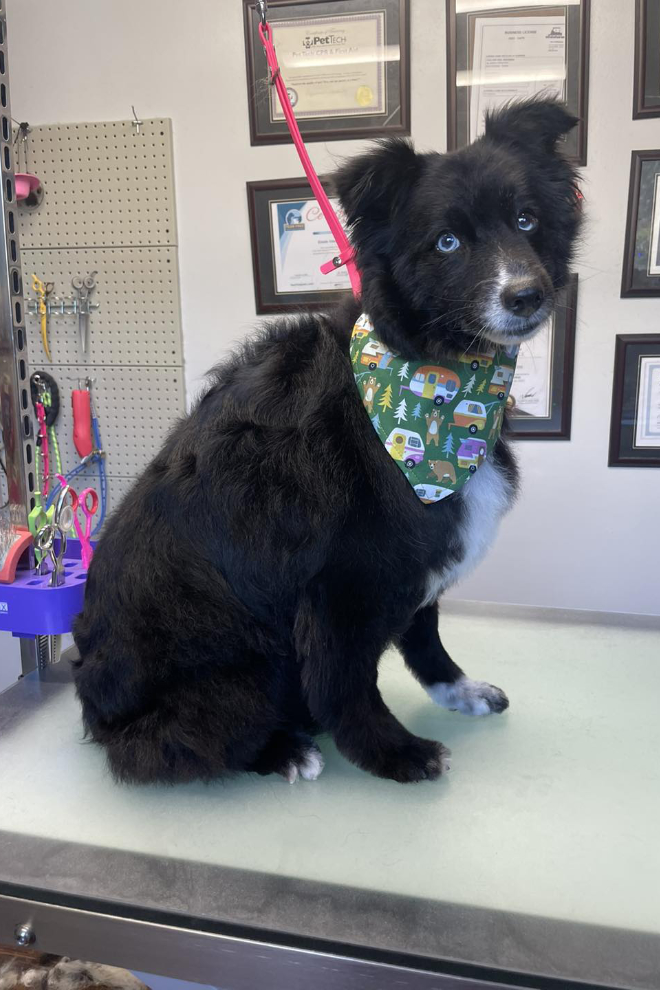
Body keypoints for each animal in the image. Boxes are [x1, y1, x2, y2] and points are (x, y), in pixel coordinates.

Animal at [72, 99, 580, 784]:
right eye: (446, 242)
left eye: (526, 220)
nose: (526, 294)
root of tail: (97, 714)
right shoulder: (341, 584)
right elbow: (347, 683)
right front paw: (393, 752)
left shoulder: (414, 558)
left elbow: (426, 639)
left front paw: (460, 692)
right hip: (244, 668)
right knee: (174, 745)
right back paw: (284, 749)